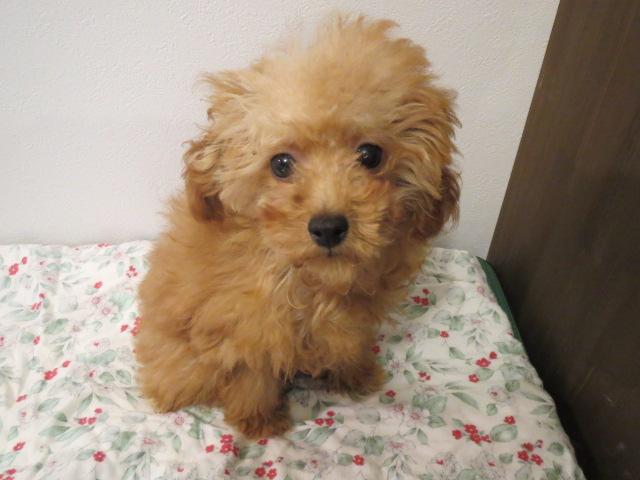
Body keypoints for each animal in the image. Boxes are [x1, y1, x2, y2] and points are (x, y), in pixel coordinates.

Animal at [135, 15, 460, 439]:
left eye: (370, 155)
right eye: (281, 164)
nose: (328, 227)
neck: (311, 281)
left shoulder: (352, 320)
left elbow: (349, 344)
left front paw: (356, 375)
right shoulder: (246, 328)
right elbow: (253, 376)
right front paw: (259, 421)